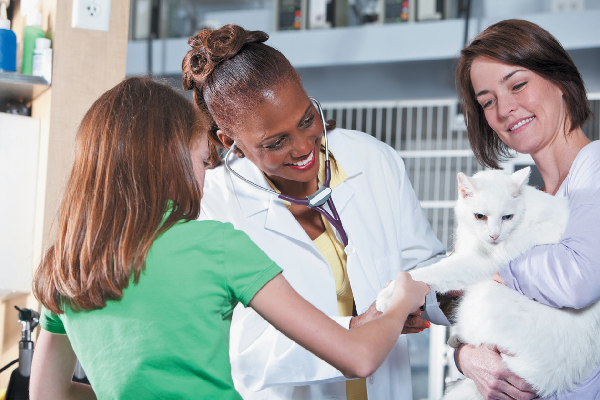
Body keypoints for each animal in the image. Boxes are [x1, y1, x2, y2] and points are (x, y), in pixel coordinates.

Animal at [376, 167, 600, 398]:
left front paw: (393, 292)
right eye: (480, 216)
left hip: (486, 295)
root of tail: (552, 379)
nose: (494, 235)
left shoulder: (477, 262)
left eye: (507, 217)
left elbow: (431, 272)